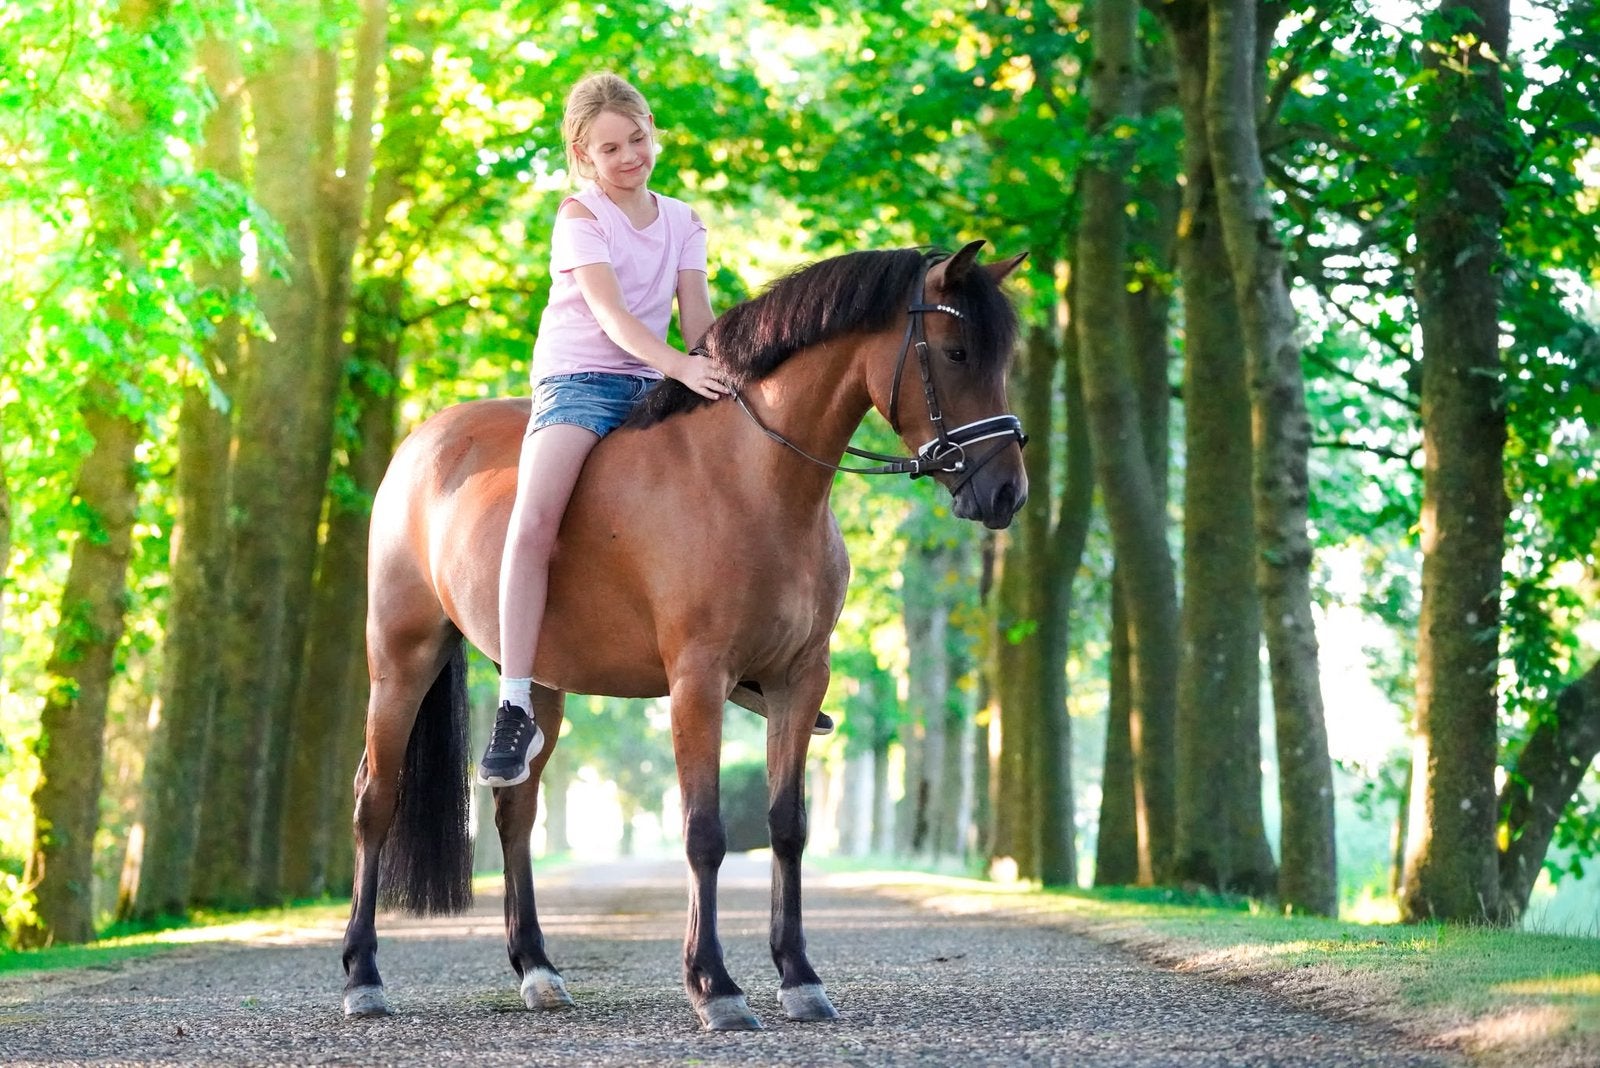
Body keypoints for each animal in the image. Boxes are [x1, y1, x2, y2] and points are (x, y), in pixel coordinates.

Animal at [340, 239, 1029, 1031]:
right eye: (954, 351)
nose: (1007, 494)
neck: (753, 479)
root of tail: (422, 444)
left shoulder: (800, 681)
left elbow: (786, 826)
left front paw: (799, 978)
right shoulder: (697, 681)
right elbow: (704, 832)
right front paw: (716, 987)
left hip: (540, 683)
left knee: (516, 808)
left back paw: (538, 970)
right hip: (402, 658)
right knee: (375, 800)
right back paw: (363, 977)